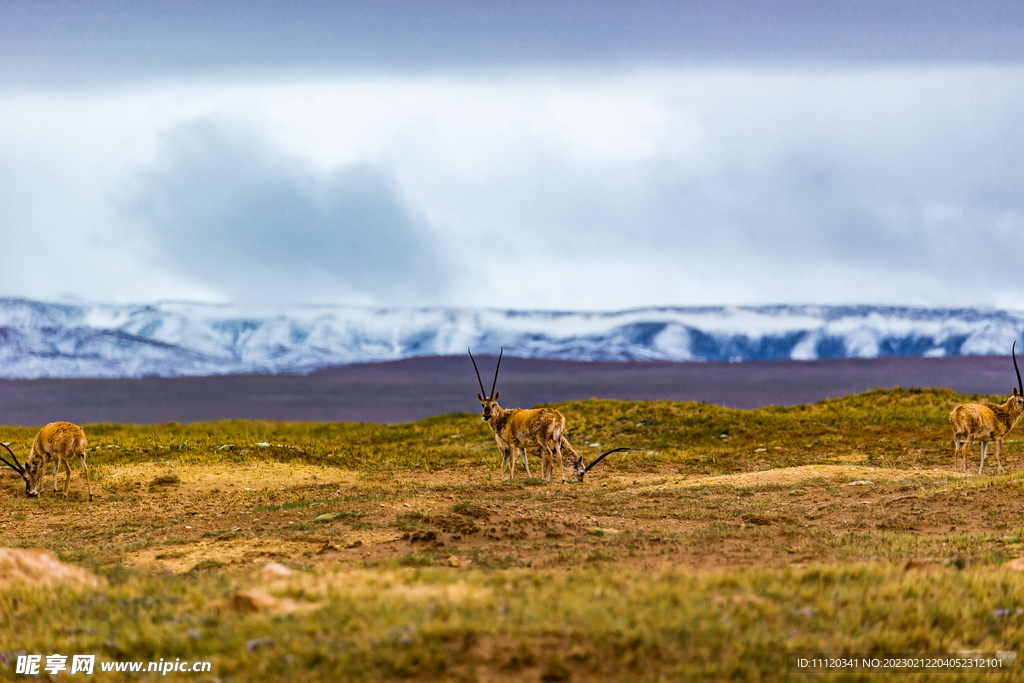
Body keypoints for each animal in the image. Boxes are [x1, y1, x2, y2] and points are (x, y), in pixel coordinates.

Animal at [468, 350, 626, 483]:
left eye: (494, 404)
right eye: (483, 404)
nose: (486, 415)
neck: (506, 417)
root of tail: (557, 416)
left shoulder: (517, 445)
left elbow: (537, 464)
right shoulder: (519, 446)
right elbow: (530, 463)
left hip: (543, 441)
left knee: (518, 460)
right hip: (545, 441)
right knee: (512, 460)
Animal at [942, 342, 1024, 475]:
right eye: (1019, 400)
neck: (1002, 413)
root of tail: (957, 411)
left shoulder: (984, 441)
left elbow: (983, 456)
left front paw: (980, 473)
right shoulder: (997, 438)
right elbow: (998, 454)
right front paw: (1001, 471)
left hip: (957, 435)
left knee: (956, 450)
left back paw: (956, 469)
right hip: (970, 435)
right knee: (964, 449)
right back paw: (965, 470)